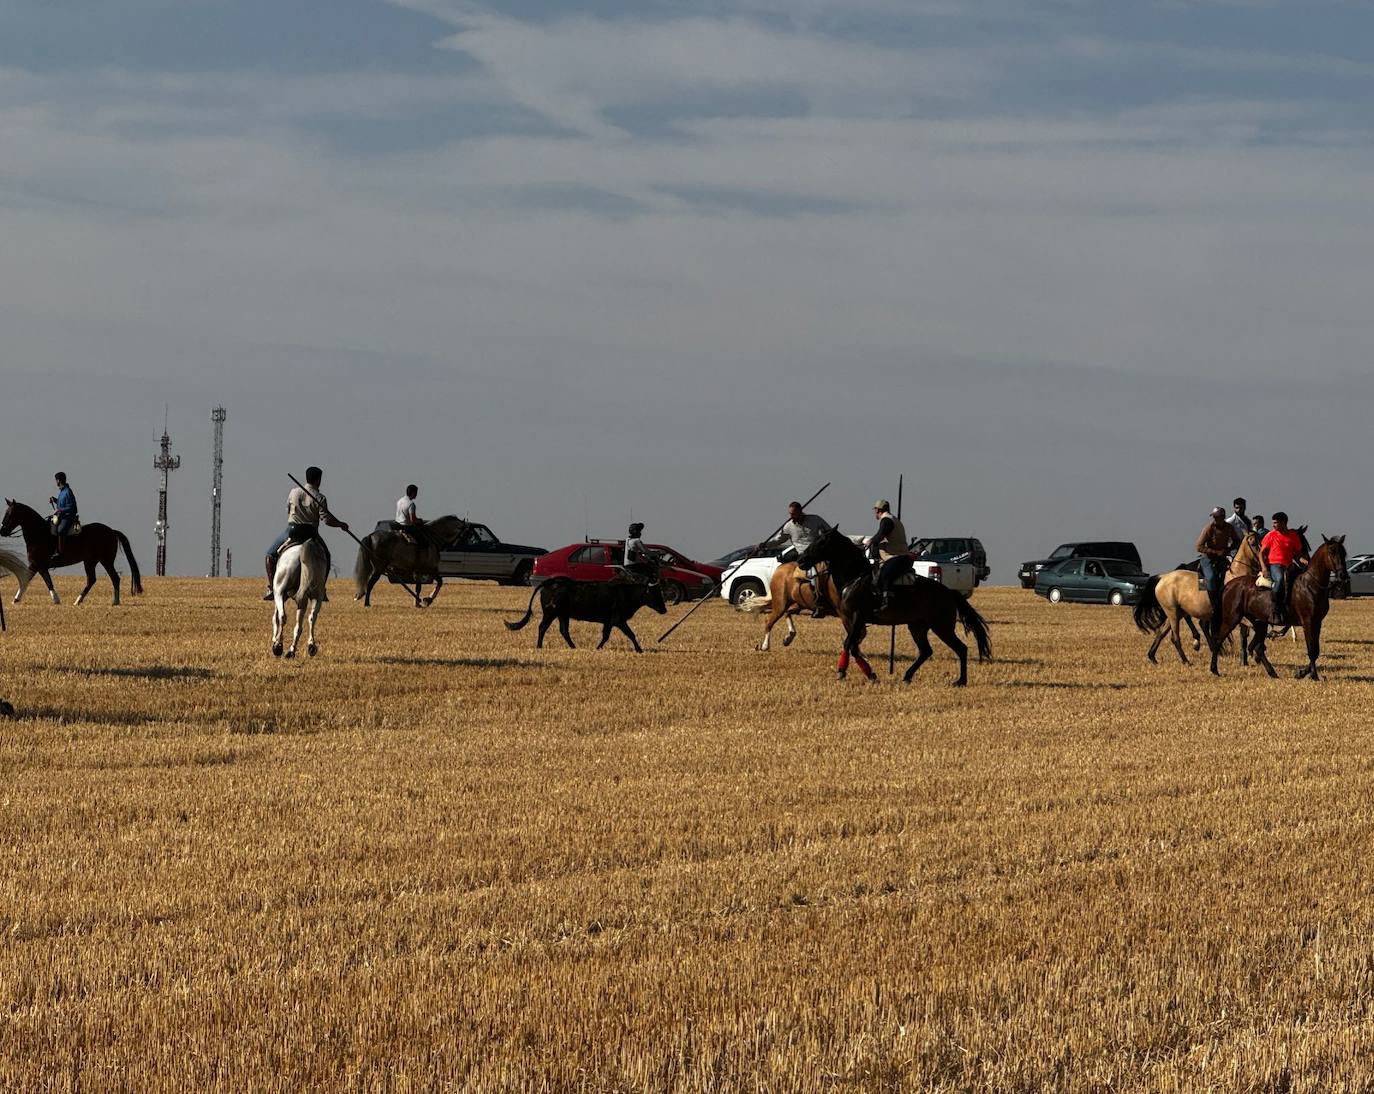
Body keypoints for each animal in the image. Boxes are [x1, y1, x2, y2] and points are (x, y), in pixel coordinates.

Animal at [0, 497, 141, 607]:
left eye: (10, 514)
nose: (2, 531)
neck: (39, 534)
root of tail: (112, 531)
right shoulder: (35, 565)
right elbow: (26, 579)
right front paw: (15, 599)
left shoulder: (40, 565)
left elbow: (47, 581)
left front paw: (56, 600)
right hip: (90, 561)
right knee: (92, 580)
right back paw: (78, 601)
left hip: (105, 561)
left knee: (114, 578)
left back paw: (114, 601)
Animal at [511, 577, 670, 654]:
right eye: (654, 593)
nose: (664, 610)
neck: (625, 593)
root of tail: (550, 583)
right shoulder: (618, 620)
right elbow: (630, 634)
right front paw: (639, 649)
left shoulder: (608, 622)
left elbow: (605, 636)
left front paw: (598, 648)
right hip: (551, 614)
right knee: (542, 627)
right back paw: (539, 646)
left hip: (563, 615)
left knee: (564, 631)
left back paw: (573, 647)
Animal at [791, 527, 994, 684]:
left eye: (821, 542)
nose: (801, 561)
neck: (856, 577)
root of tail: (948, 592)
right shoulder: (851, 620)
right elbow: (853, 645)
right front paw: (869, 674)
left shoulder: (857, 616)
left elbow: (849, 643)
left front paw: (843, 671)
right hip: (917, 627)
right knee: (926, 651)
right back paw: (907, 676)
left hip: (941, 627)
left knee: (961, 648)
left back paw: (960, 681)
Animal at [1209, 533, 1346, 678]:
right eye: (1332, 552)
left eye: (1343, 552)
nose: (1343, 574)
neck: (1311, 584)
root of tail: (1228, 585)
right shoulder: (1308, 622)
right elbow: (1312, 650)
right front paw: (1312, 675)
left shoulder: (1317, 622)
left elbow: (1316, 650)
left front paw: (1302, 673)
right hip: (1231, 619)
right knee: (1218, 641)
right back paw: (1214, 669)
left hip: (1259, 623)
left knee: (1258, 647)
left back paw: (1272, 672)